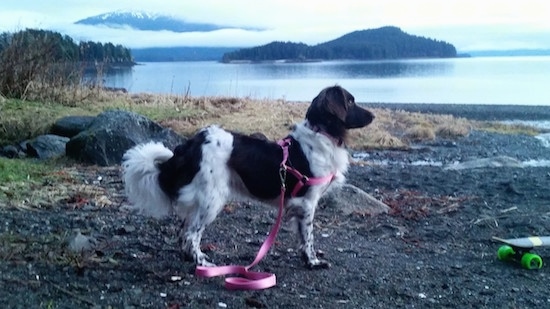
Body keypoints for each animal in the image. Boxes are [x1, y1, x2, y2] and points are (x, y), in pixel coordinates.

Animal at [123, 85, 378, 268]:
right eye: (351, 101)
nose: (374, 115)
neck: (321, 134)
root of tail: (192, 144)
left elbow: (301, 236)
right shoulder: (307, 202)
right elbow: (308, 237)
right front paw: (313, 262)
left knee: (182, 231)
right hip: (212, 199)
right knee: (191, 233)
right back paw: (202, 263)